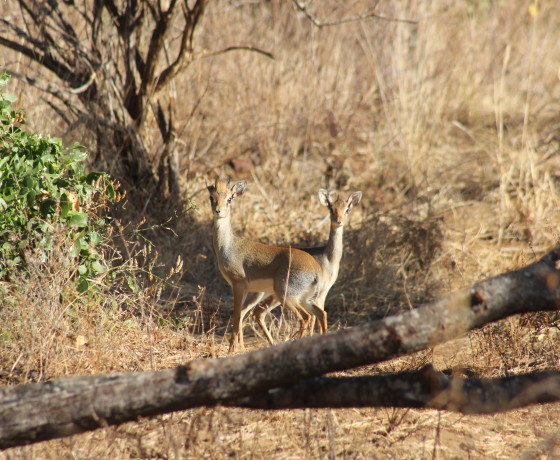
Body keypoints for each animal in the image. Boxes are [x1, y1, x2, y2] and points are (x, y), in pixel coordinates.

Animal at [208, 177, 326, 352]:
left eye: (230, 198)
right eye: (212, 197)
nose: (218, 211)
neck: (229, 246)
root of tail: (315, 270)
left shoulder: (238, 285)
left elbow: (236, 315)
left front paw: (231, 351)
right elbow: (240, 314)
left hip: (287, 297)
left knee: (306, 317)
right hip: (304, 299)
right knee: (320, 314)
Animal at [249, 188, 364, 344]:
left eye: (347, 209)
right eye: (331, 208)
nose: (338, 221)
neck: (327, 259)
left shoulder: (323, 293)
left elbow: (319, 316)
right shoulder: (317, 295)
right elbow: (316, 318)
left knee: (257, 311)